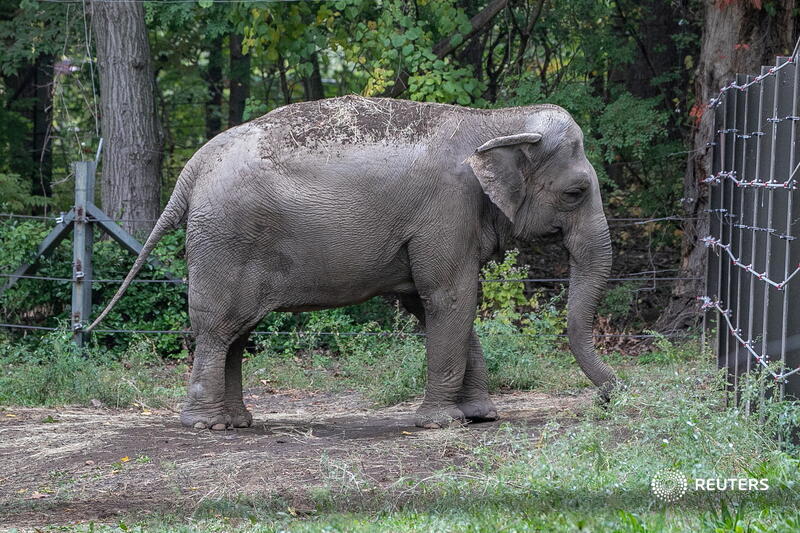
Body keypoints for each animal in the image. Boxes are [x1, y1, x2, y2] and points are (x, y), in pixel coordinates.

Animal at [89, 95, 617, 430]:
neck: (495, 121)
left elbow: (436, 302)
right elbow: (451, 296)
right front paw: (442, 423)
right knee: (218, 328)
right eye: (576, 192)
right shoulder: (446, 210)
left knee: (237, 332)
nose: (612, 395)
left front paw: (480, 416)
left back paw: (236, 422)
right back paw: (206, 427)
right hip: (225, 240)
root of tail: (193, 168)